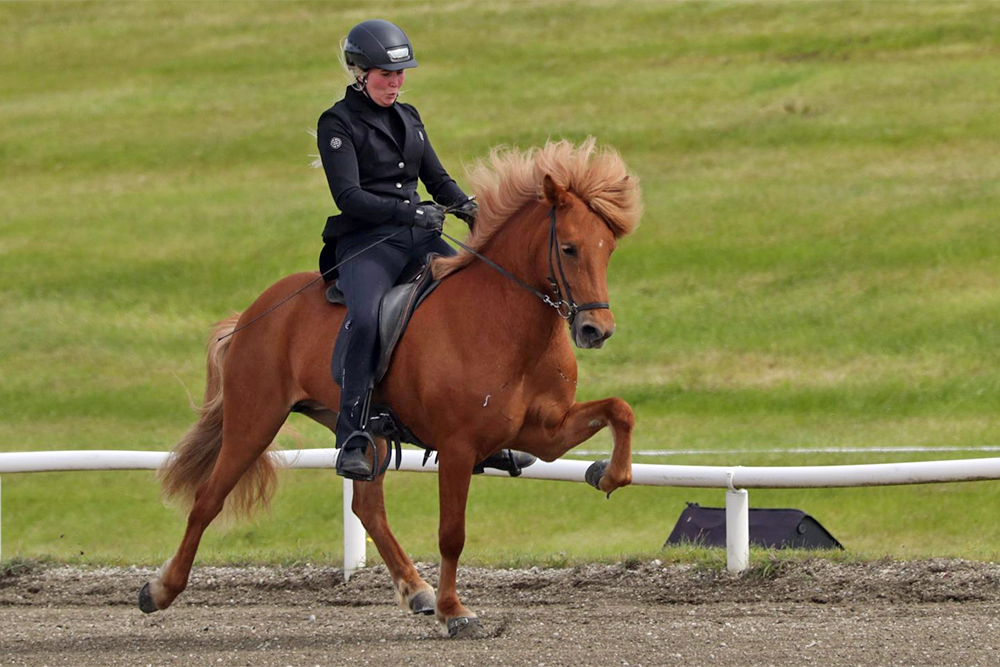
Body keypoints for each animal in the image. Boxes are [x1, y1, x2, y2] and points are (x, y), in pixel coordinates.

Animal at [139, 138, 640, 640]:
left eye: (609, 249)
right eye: (569, 248)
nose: (596, 330)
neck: (505, 322)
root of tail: (252, 314)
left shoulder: (542, 432)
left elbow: (620, 410)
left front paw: (606, 474)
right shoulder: (458, 446)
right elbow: (451, 533)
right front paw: (455, 612)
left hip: (365, 432)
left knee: (367, 507)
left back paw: (416, 589)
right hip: (254, 421)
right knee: (208, 499)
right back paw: (159, 591)